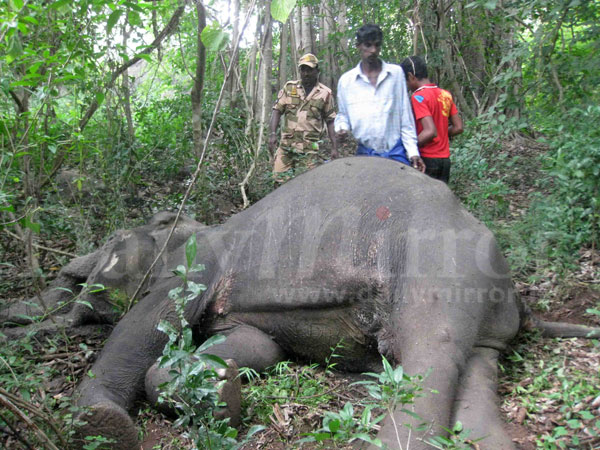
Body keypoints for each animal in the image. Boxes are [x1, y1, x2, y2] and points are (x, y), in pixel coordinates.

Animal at [2, 156, 596, 448]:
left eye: (111, 243)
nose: (61, 281)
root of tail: (518, 296)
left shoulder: (196, 268)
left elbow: (143, 328)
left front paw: (103, 427)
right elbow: (255, 346)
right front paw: (220, 388)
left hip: (440, 259)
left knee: (431, 350)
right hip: (484, 314)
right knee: (476, 364)